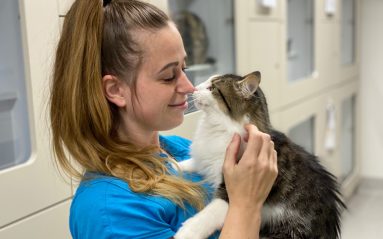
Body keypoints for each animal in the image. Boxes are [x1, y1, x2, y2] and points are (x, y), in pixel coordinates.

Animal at [176, 71, 346, 239]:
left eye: (212, 88)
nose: (194, 88)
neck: (217, 129)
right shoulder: (205, 159)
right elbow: (191, 163)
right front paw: (174, 166)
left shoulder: (229, 190)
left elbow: (208, 215)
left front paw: (186, 232)